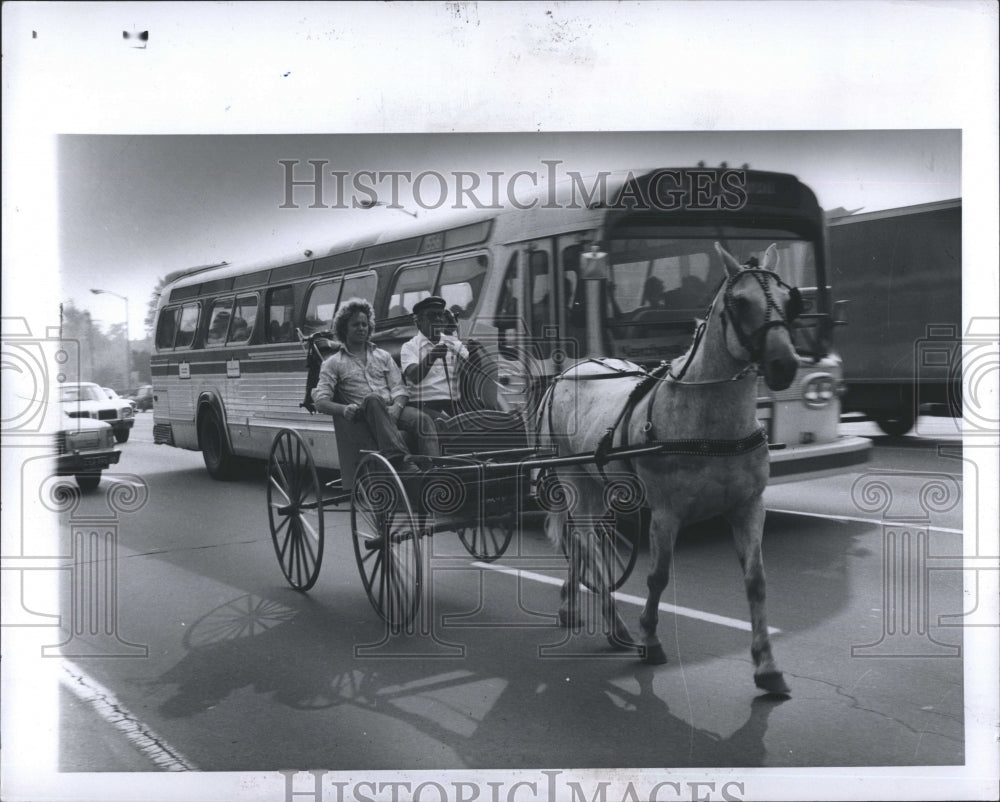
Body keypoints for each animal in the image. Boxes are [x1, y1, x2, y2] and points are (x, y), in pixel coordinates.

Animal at [540, 241, 796, 692]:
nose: (785, 364)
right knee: (585, 541)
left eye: (788, 298)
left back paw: (573, 606)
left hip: (600, 485)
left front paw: (766, 664)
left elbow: (756, 581)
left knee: (581, 542)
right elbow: (657, 576)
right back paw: (616, 625)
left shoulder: (748, 506)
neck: (709, 425)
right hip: (571, 477)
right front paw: (650, 638)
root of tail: (569, 371)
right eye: (740, 302)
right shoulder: (666, 512)